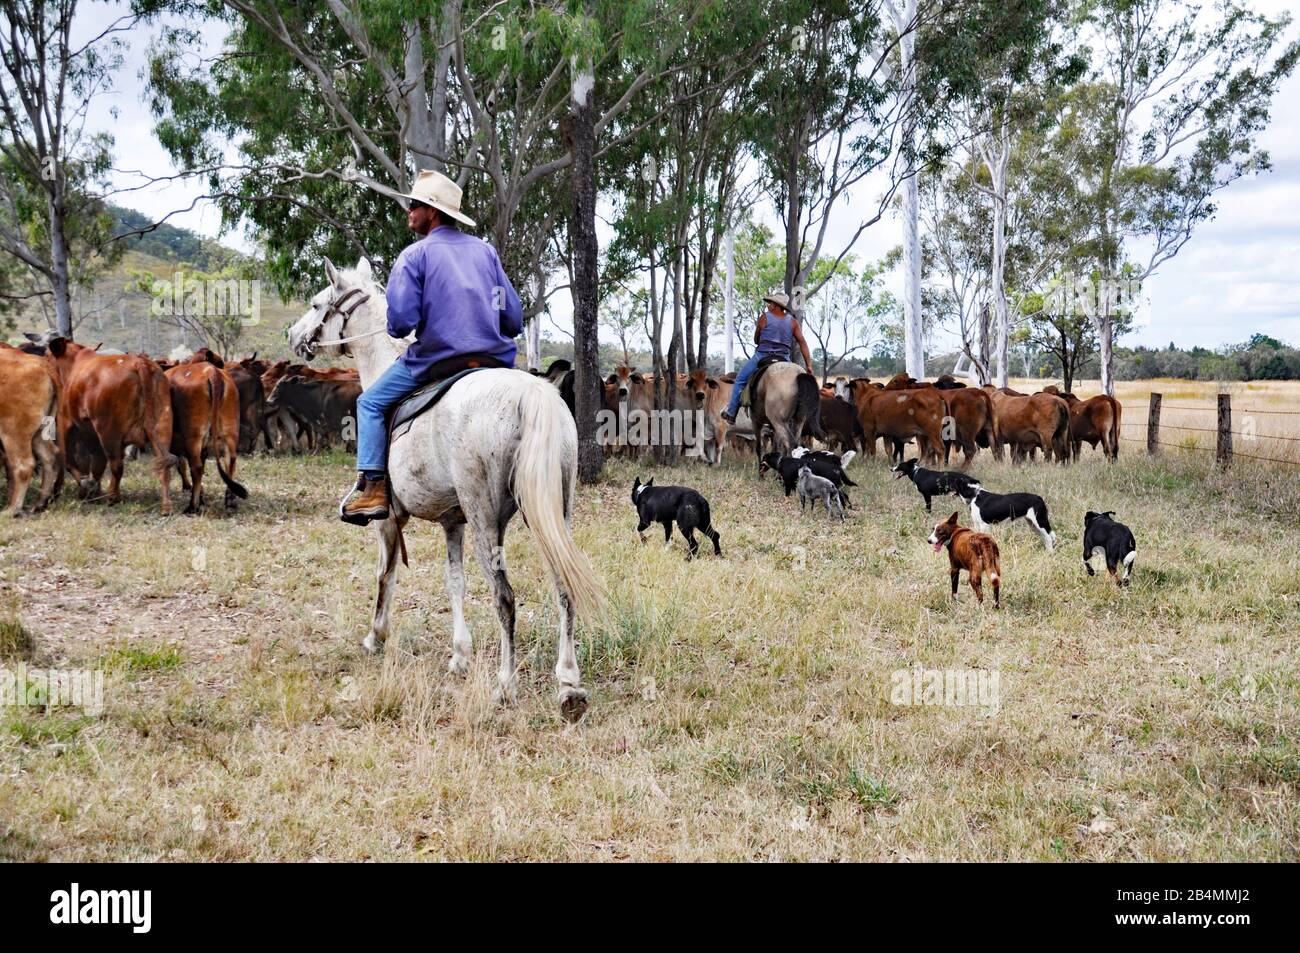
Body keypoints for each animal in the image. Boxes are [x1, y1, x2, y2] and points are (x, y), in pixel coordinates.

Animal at [0, 345, 62, 517]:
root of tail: (41, 365)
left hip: (13, 432)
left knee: (24, 465)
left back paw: (12, 509)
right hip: (38, 433)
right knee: (49, 457)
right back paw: (39, 503)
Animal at [46, 335, 178, 509]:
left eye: (47, 356)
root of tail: (138, 362)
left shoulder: (66, 423)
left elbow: (70, 460)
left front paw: (86, 488)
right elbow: (97, 464)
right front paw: (92, 491)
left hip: (108, 431)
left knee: (116, 465)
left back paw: (113, 497)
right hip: (162, 426)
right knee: (164, 466)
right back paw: (166, 506)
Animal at [165, 358, 248, 512]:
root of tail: (211, 371)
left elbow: (181, 464)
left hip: (193, 436)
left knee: (196, 467)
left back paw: (192, 506)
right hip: (230, 431)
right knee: (230, 460)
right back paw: (230, 501)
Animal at [289, 256, 603, 717]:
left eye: (316, 304)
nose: (294, 337)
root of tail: (531, 394)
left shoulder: (390, 520)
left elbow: (385, 575)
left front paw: (376, 636)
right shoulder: (452, 523)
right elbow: (454, 581)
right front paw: (460, 655)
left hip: (486, 518)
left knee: (504, 597)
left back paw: (506, 684)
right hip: (553, 512)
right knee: (563, 586)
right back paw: (568, 684)